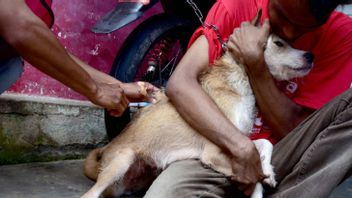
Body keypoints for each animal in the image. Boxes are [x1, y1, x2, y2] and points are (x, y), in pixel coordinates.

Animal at [82, 34, 314, 198]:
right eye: (279, 43)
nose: (311, 55)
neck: (240, 82)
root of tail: (105, 153)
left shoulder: (240, 142)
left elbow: (265, 144)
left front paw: (269, 171)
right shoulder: (214, 152)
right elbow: (253, 174)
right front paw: (258, 187)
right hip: (122, 161)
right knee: (89, 194)